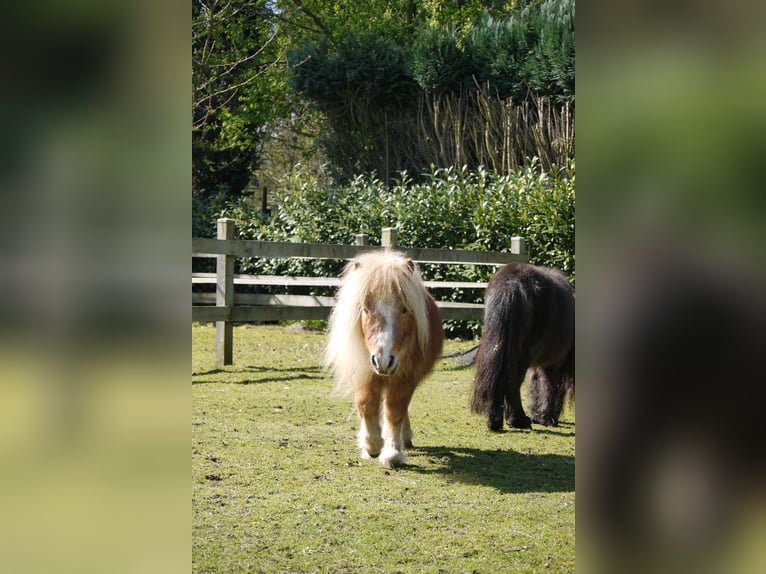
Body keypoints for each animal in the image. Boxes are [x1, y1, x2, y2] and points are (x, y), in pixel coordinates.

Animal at [328, 251, 448, 468]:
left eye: (404, 309)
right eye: (365, 309)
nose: (383, 361)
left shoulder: (405, 378)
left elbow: (395, 411)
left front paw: (392, 453)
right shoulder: (364, 371)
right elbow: (366, 405)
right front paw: (372, 445)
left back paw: (404, 438)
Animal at [468, 264, 576, 430]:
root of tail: (511, 283)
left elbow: (535, 385)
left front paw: (538, 416)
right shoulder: (553, 364)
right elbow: (549, 386)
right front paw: (546, 418)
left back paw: (495, 422)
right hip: (522, 355)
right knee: (512, 381)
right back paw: (518, 420)